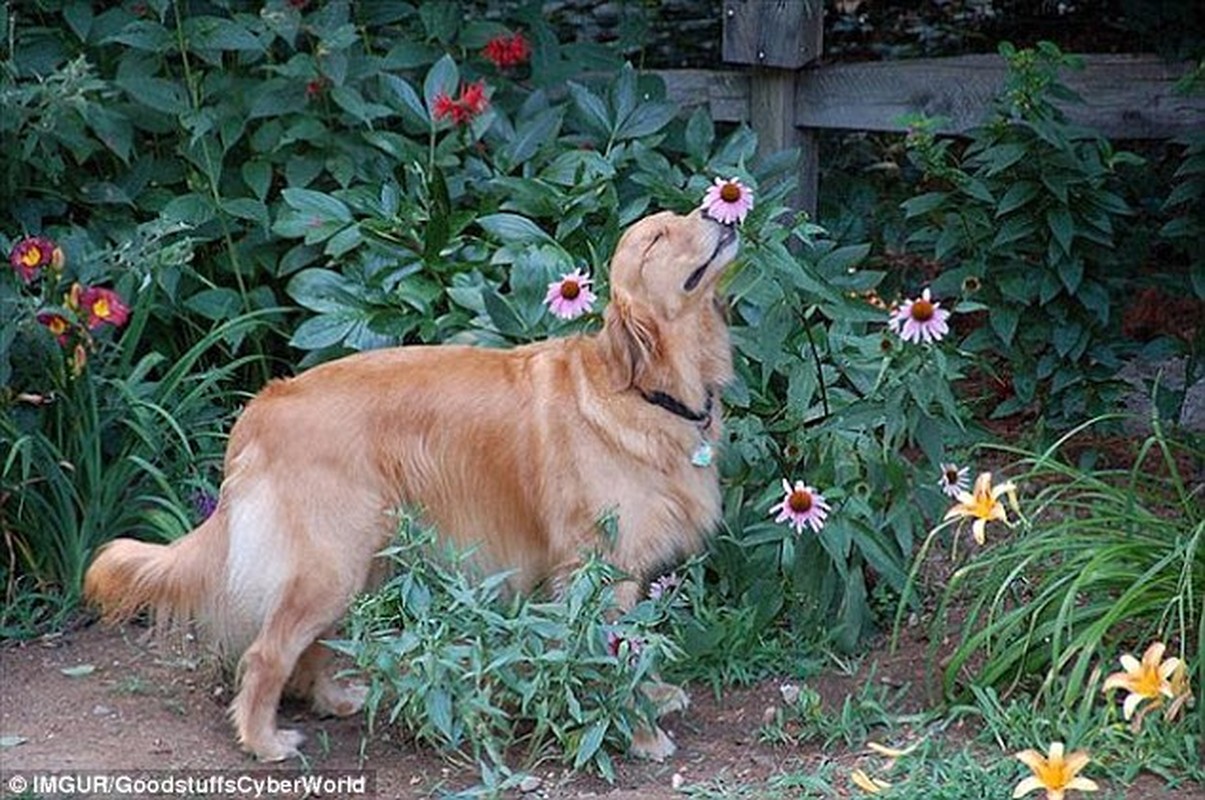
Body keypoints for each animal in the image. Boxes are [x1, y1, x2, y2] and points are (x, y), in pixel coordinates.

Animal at [82, 204, 732, 761]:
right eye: (657, 237)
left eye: (677, 217)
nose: (716, 210)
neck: (644, 389)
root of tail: (265, 403)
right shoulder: (599, 569)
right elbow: (618, 658)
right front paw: (641, 734)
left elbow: (639, 650)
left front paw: (655, 699)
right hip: (330, 564)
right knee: (267, 652)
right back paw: (264, 740)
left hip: (359, 560)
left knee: (311, 646)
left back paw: (335, 698)